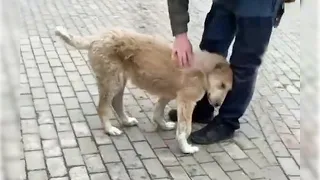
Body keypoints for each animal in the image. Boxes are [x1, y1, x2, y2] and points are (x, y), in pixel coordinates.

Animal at [53, 26, 231, 153]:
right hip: (112, 81)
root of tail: (98, 37)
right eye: (222, 85)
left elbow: (158, 111)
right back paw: (110, 129)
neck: (205, 71)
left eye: (228, 90)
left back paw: (126, 121)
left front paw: (163, 125)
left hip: (119, 81)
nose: (217, 105)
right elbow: (184, 128)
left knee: (116, 103)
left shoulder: (168, 94)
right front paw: (186, 148)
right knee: (103, 107)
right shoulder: (187, 101)